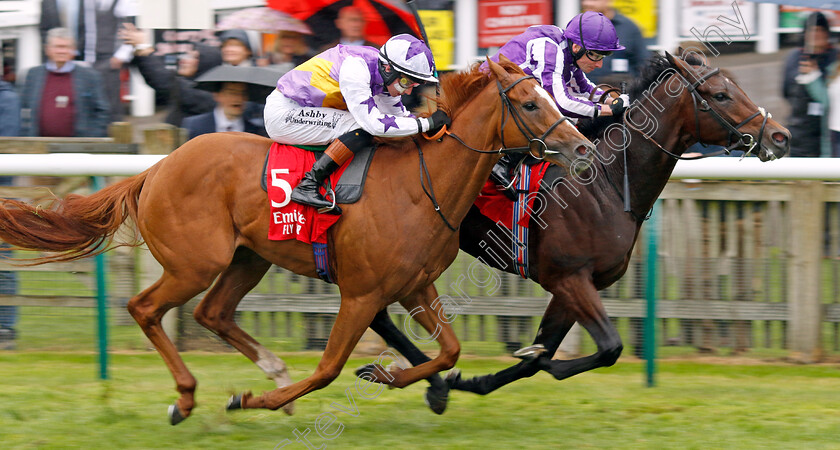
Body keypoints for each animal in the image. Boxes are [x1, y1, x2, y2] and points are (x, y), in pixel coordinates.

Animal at [0, 58, 596, 424]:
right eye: (530, 104)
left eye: (550, 96)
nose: (582, 147)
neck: (421, 184)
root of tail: (157, 167)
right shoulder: (361, 293)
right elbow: (329, 368)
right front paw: (253, 399)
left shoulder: (414, 286)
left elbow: (448, 350)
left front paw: (388, 373)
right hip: (195, 263)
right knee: (145, 308)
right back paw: (187, 398)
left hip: (248, 259)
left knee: (212, 312)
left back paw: (270, 368)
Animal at [364, 51, 792, 410]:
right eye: (721, 95)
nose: (781, 136)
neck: (605, 184)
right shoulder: (569, 277)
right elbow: (608, 347)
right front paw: (526, 365)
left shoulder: (575, 285)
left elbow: (547, 353)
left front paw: (478, 379)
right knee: (378, 310)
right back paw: (421, 380)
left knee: (379, 312)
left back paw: (429, 383)